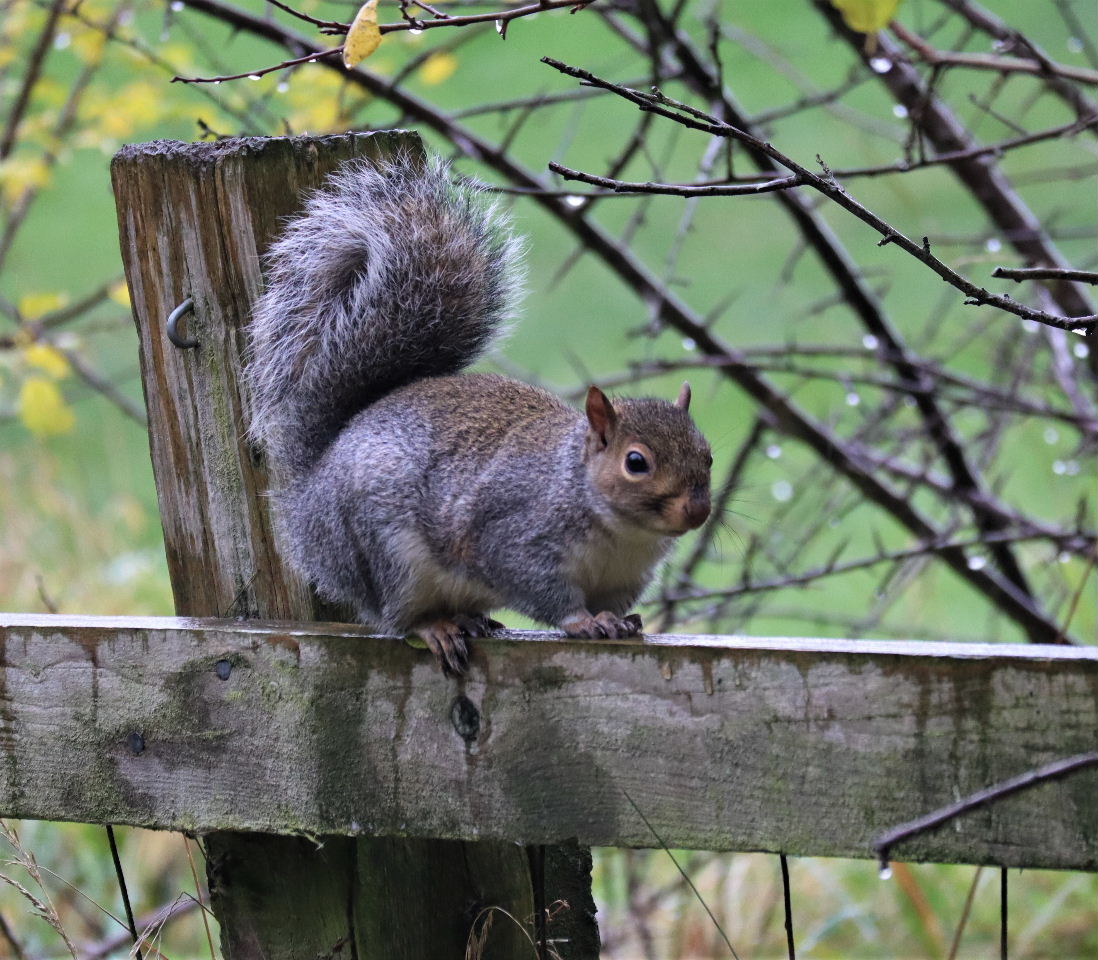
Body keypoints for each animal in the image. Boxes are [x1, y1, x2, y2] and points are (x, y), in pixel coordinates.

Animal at [245, 152, 712, 675]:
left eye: (708, 456)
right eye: (636, 462)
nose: (698, 510)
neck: (620, 531)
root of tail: (311, 496)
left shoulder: (625, 576)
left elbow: (613, 602)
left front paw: (620, 621)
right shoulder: (513, 539)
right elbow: (544, 591)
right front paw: (583, 622)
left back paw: (473, 620)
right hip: (386, 554)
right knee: (396, 616)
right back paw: (436, 627)